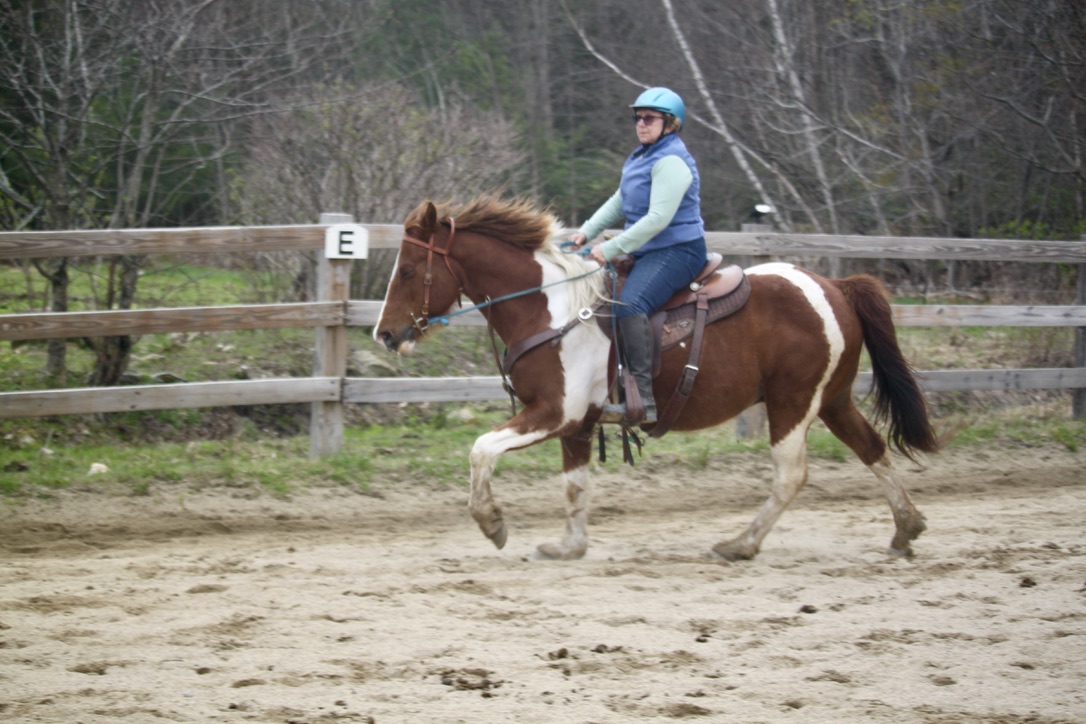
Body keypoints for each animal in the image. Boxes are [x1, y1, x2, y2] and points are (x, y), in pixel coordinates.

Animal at [374, 195, 940, 561]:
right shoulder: (578, 425)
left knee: (790, 475)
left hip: (793, 402)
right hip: (833, 399)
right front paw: (569, 546)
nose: (385, 334)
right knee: (871, 448)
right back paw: (906, 528)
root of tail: (835, 285)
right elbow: (575, 484)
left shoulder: (554, 413)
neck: (550, 307)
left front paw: (492, 522)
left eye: (408, 269)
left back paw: (741, 544)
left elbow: (481, 449)